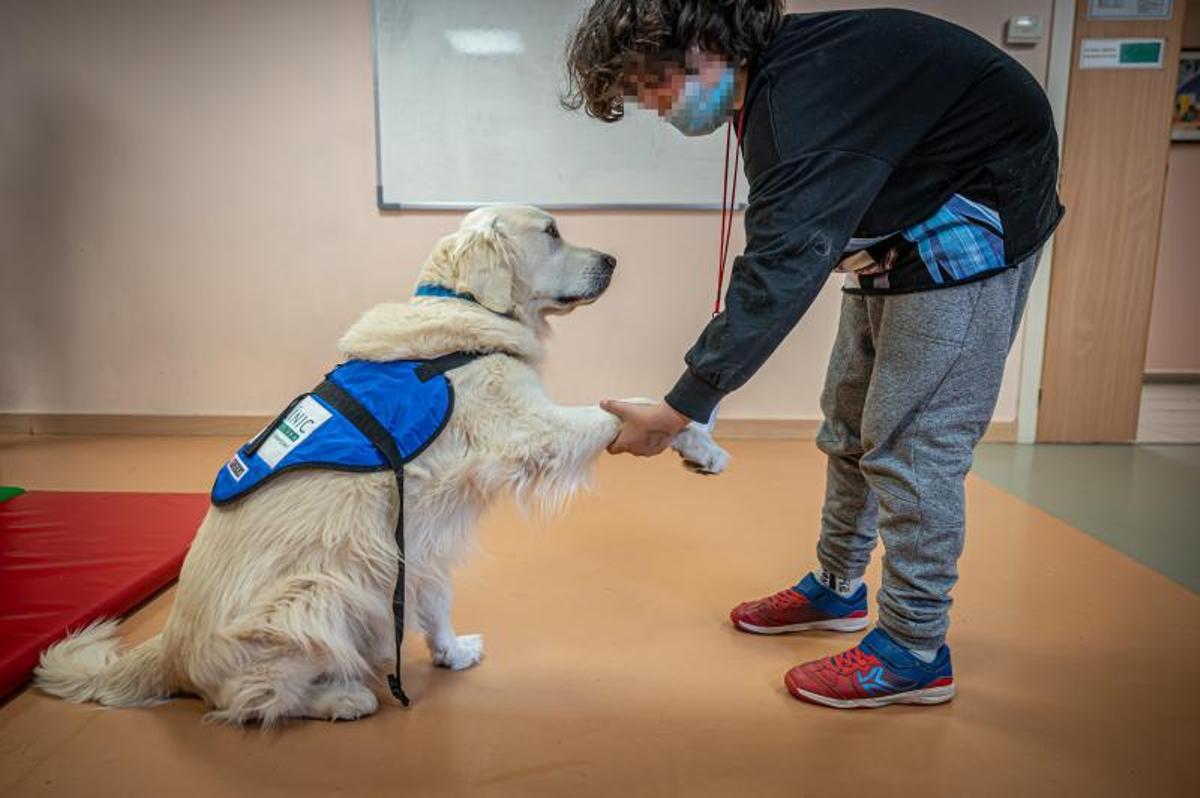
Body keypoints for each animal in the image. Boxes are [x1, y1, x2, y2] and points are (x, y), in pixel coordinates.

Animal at [37, 204, 724, 720]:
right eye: (552, 231)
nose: (612, 261)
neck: (468, 312)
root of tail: (167, 651)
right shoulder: (530, 428)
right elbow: (623, 408)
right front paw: (698, 442)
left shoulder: (420, 539)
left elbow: (436, 601)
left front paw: (452, 653)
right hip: (318, 591)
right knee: (247, 699)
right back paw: (341, 699)